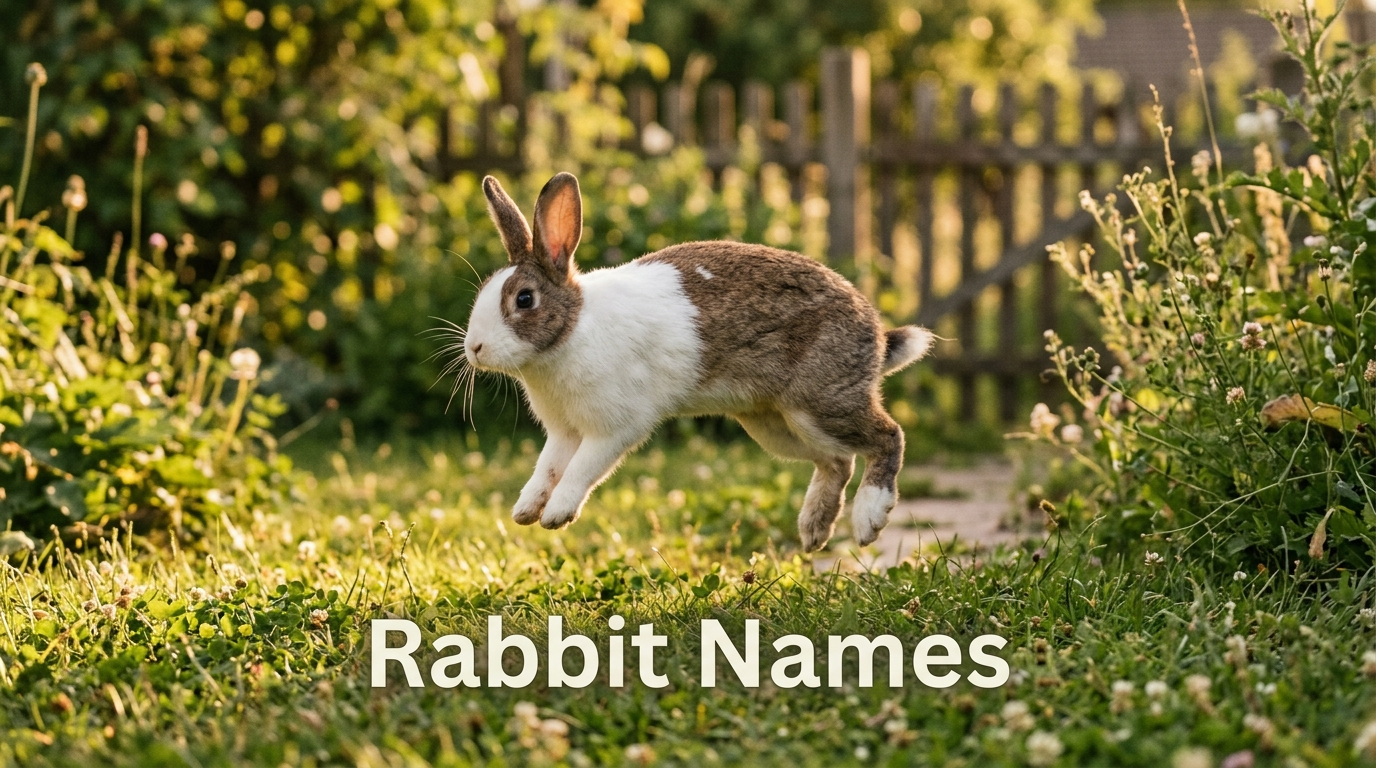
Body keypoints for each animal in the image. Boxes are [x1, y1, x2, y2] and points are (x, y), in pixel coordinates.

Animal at [461, 172, 933, 551]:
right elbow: (547, 467)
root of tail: (874, 333)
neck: (572, 329)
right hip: (777, 424)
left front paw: (557, 515)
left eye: (524, 299)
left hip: (821, 401)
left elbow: (581, 470)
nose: (474, 348)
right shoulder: (562, 433)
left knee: (887, 437)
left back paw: (869, 519)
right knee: (837, 461)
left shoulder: (612, 429)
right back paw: (814, 530)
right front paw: (525, 510)